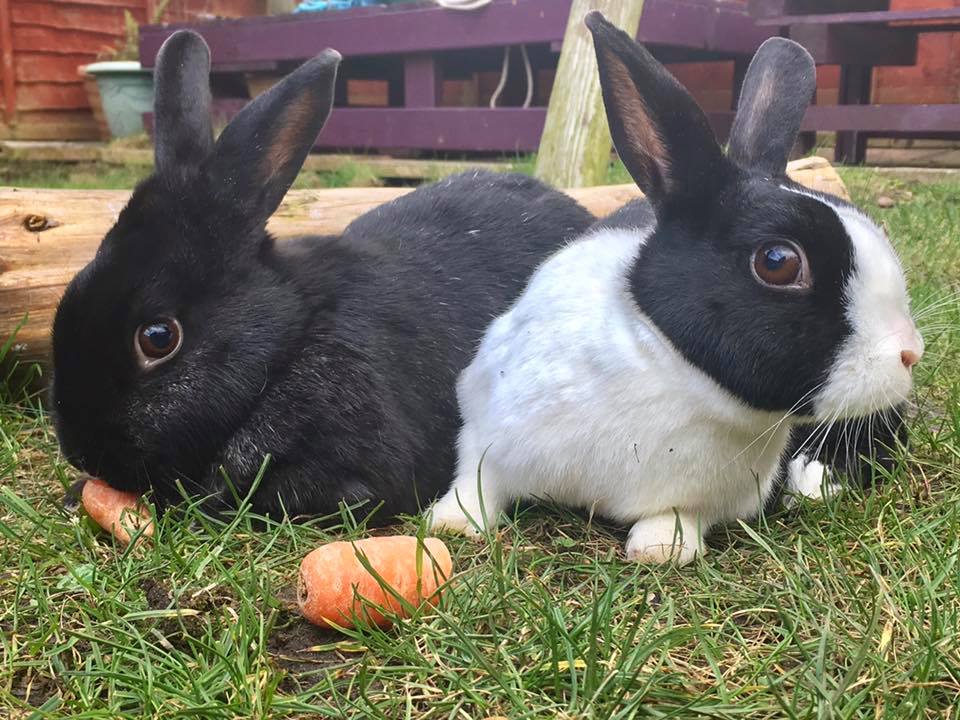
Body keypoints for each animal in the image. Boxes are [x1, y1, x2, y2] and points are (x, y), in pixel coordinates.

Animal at [428, 12, 924, 564]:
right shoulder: (485, 425)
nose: (910, 352)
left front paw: (661, 547)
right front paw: (451, 522)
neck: (673, 372)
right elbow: (477, 479)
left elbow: (678, 516)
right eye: (778, 262)